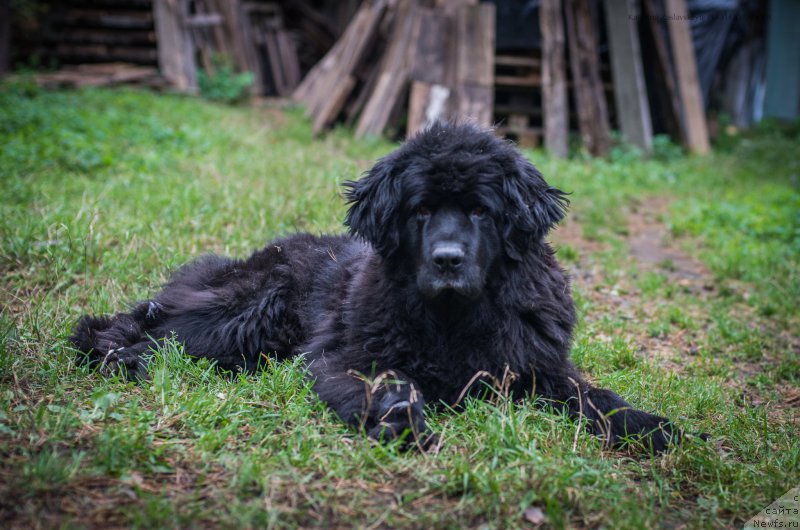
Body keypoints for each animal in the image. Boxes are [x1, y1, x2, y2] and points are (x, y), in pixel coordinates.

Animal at [72, 122, 680, 450]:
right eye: (422, 210)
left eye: (480, 211)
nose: (447, 259)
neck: (456, 319)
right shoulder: (348, 358)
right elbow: (390, 387)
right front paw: (404, 424)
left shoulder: (539, 365)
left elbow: (595, 396)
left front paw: (650, 426)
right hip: (248, 308)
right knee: (148, 328)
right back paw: (118, 354)